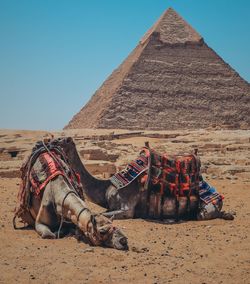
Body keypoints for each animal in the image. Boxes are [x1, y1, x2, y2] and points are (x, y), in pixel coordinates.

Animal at [58, 136, 234, 222]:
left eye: (62, 140)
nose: (50, 141)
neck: (107, 186)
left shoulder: (127, 208)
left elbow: (103, 215)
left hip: (207, 207)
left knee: (201, 215)